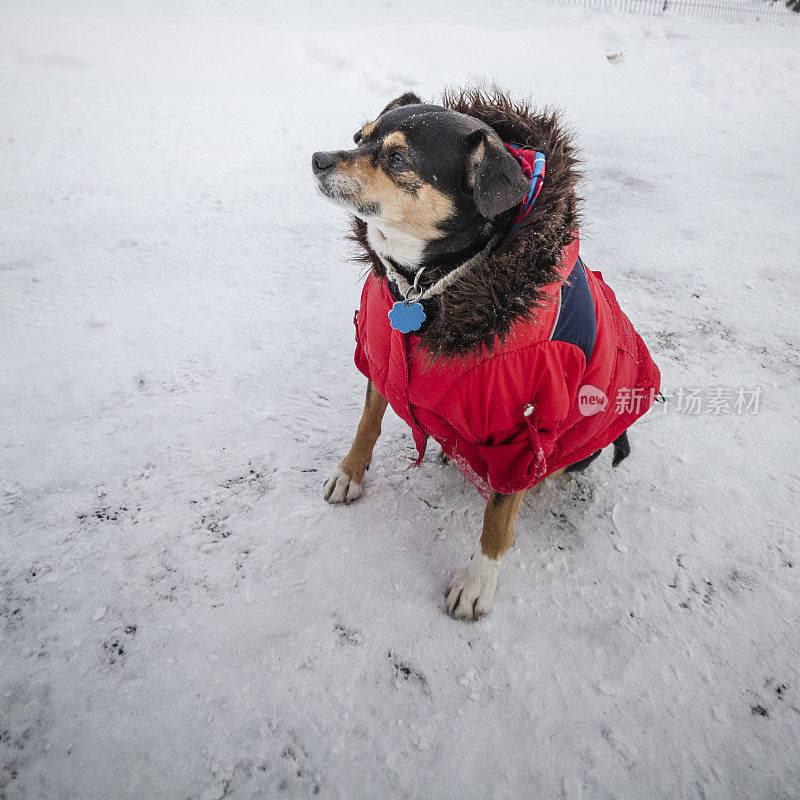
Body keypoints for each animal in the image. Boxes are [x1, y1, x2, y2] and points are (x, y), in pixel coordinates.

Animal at [310, 90, 660, 620]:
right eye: (359, 136)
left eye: (397, 158)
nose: (317, 158)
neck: (424, 286)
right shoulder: (379, 356)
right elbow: (369, 419)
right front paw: (349, 473)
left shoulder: (525, 429)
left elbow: (498, 515)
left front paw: (477, 582)